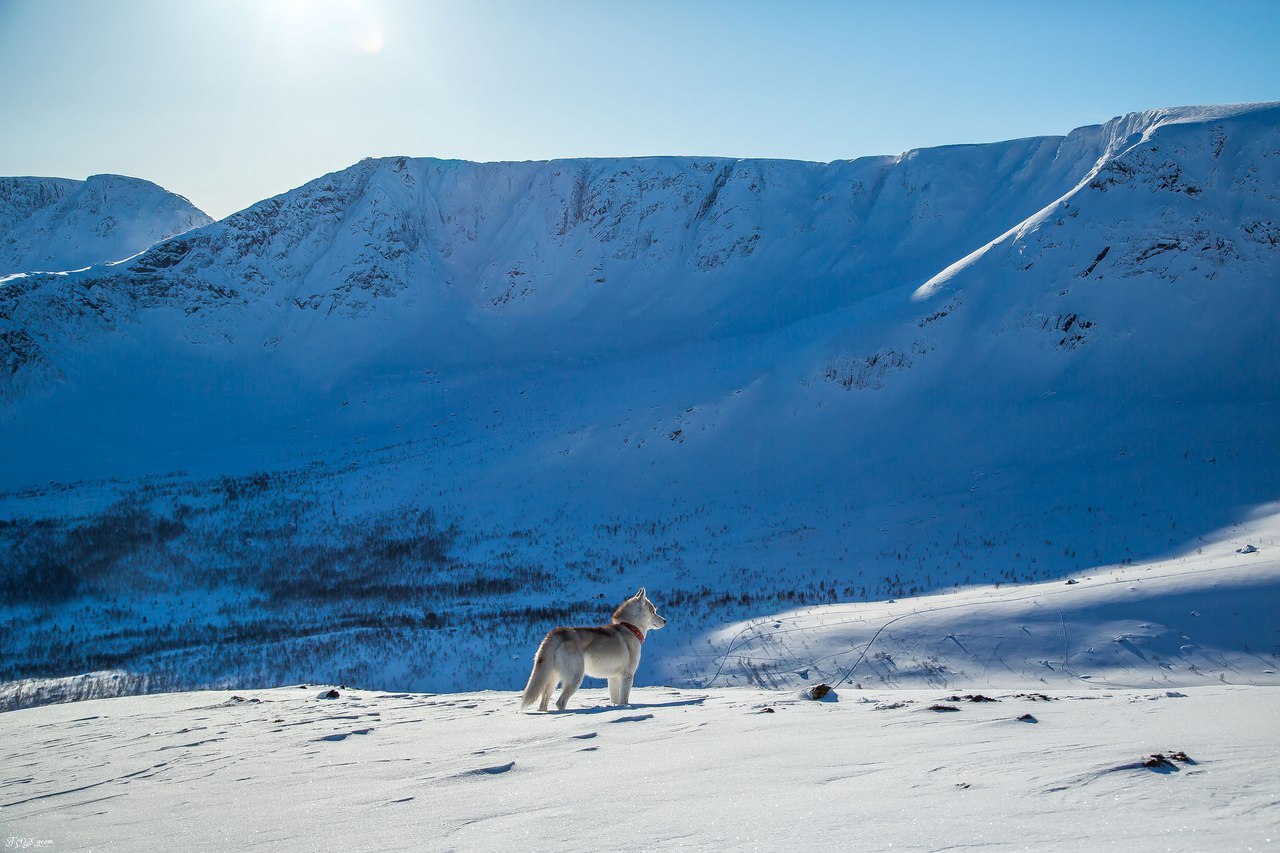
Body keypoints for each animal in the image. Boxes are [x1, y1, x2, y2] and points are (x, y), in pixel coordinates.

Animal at [517, 584, 665, 712]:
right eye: (653, 611)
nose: (665, 620)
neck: (629, 628)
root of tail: (558, 632)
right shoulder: (627, 676)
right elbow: (624, 700)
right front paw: (626, 707)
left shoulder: (613, 678)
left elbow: (615, 700)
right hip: (575, 678)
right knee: (560, 702)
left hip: (552, 679)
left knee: (543, 703)